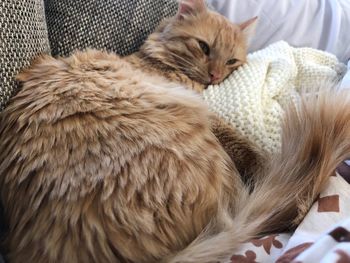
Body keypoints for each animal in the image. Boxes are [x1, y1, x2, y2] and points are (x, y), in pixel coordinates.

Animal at [0, 0, 350, 263]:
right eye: (204, 48)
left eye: (231, 61)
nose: (215, 76)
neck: (157, 60)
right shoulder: (210, 114)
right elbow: (246, 147)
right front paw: (265, 163)